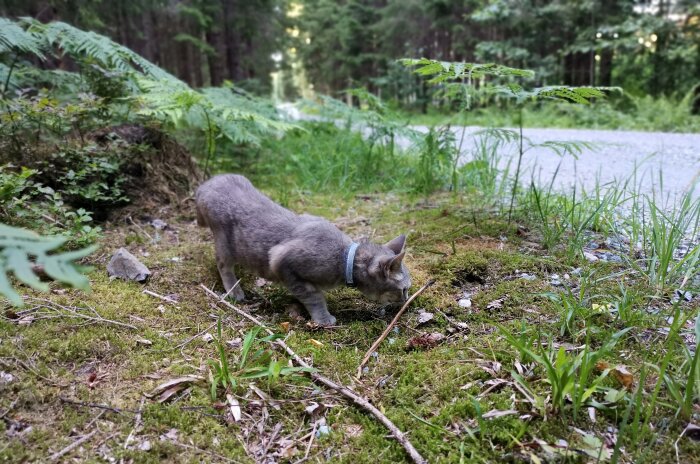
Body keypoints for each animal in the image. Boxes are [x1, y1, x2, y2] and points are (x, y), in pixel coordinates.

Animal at [194, 175, 410, 326]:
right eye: (404, 289)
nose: (407, 300)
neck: (344, 258)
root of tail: (204, 185)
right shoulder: (282, 261)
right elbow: (315, 296)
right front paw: (324, 318)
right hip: (224, 242)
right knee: (223, 265)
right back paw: (234, 290)